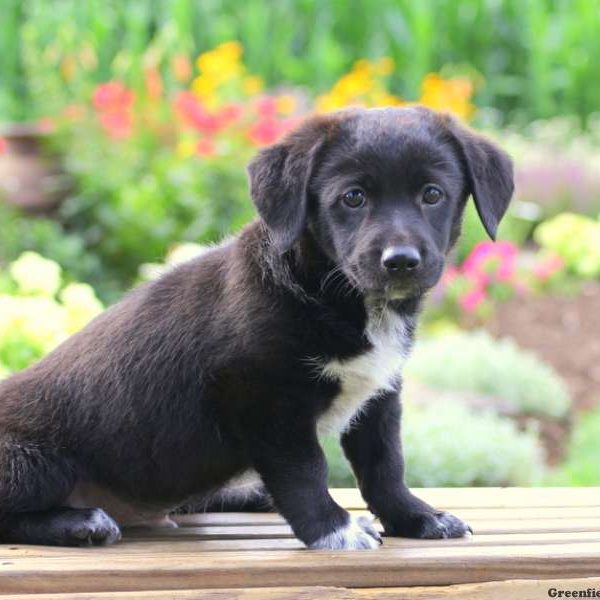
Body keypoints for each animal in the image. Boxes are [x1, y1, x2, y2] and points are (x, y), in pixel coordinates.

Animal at [0, 106, 516, 548]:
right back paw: (81, 523)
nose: (401, 262)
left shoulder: (380, 394)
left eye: (432, 194)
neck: (333, 293)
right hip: (37, 463)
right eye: (353, 197)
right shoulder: (264, 399)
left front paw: (416, 517)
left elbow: (385, 465)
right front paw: (333, 529)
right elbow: (306, 470)